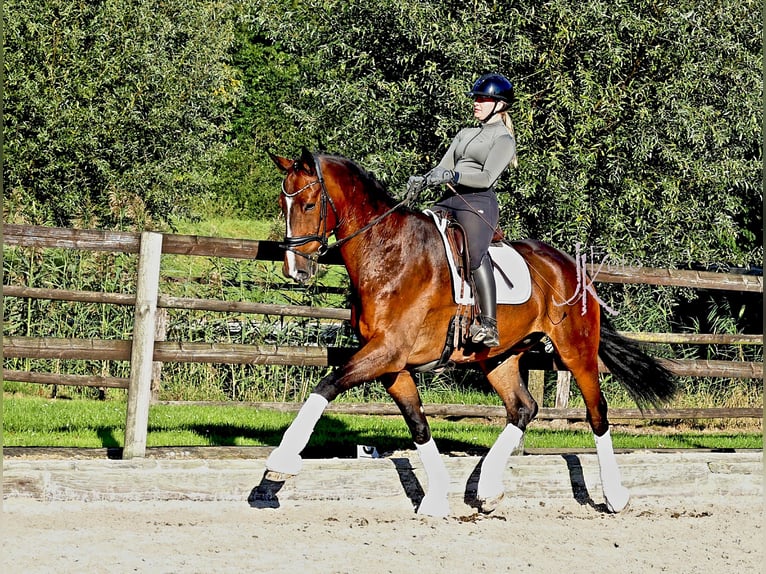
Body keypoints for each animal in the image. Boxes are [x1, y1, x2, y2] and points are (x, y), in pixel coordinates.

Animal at [262, 147, 680, 516]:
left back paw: (615, 496)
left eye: (309, 205)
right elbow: (418, 424)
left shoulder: (387, 351)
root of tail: (569, 265)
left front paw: (281, 462)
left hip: (576, 350)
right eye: (282, 204)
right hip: (499, 357)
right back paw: (489, 489)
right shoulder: (392, 363)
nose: (295, 270)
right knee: (523, 408)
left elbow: (327, 384)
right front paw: (436, 498)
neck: (389, 253)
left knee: (597, 413)